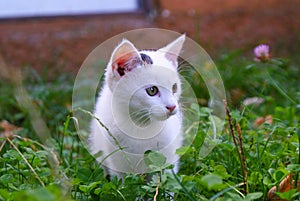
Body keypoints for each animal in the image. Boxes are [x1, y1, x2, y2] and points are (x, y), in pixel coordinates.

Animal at [89, 35, 184, 177]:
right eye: (152, 90)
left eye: (174, 87)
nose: (172, 107)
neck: (141, 126)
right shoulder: (115, 157)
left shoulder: (168, 155)